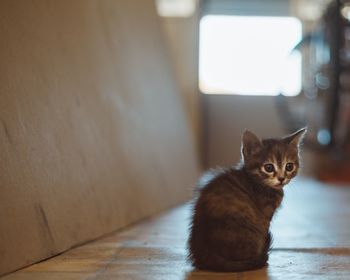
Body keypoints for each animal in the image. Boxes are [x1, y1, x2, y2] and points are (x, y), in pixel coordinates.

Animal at [189, 129, 306, 272]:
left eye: (289, 166)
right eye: (269, 168)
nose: (281, 178)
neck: (257, 182)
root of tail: (205, 254)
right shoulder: (264, 217)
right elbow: (264, 232)